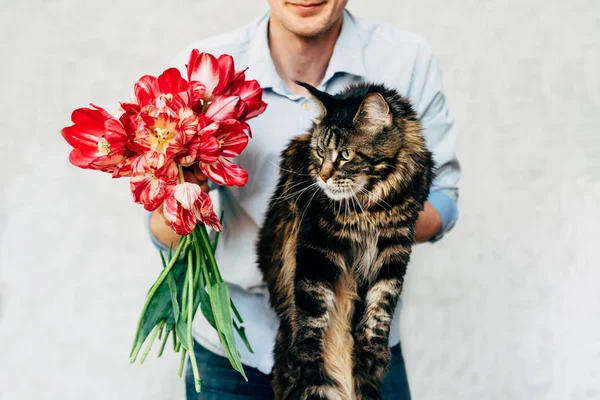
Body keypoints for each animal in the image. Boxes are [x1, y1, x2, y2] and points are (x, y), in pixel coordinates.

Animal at [255, 82, 434, 400]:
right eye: (319, 152)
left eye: (346, 154)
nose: (324, 177)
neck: (373, 202)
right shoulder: (317, 245)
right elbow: (312, 309)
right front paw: (307, 359)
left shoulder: (395, 246)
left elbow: (382, 304)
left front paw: (373, 354)